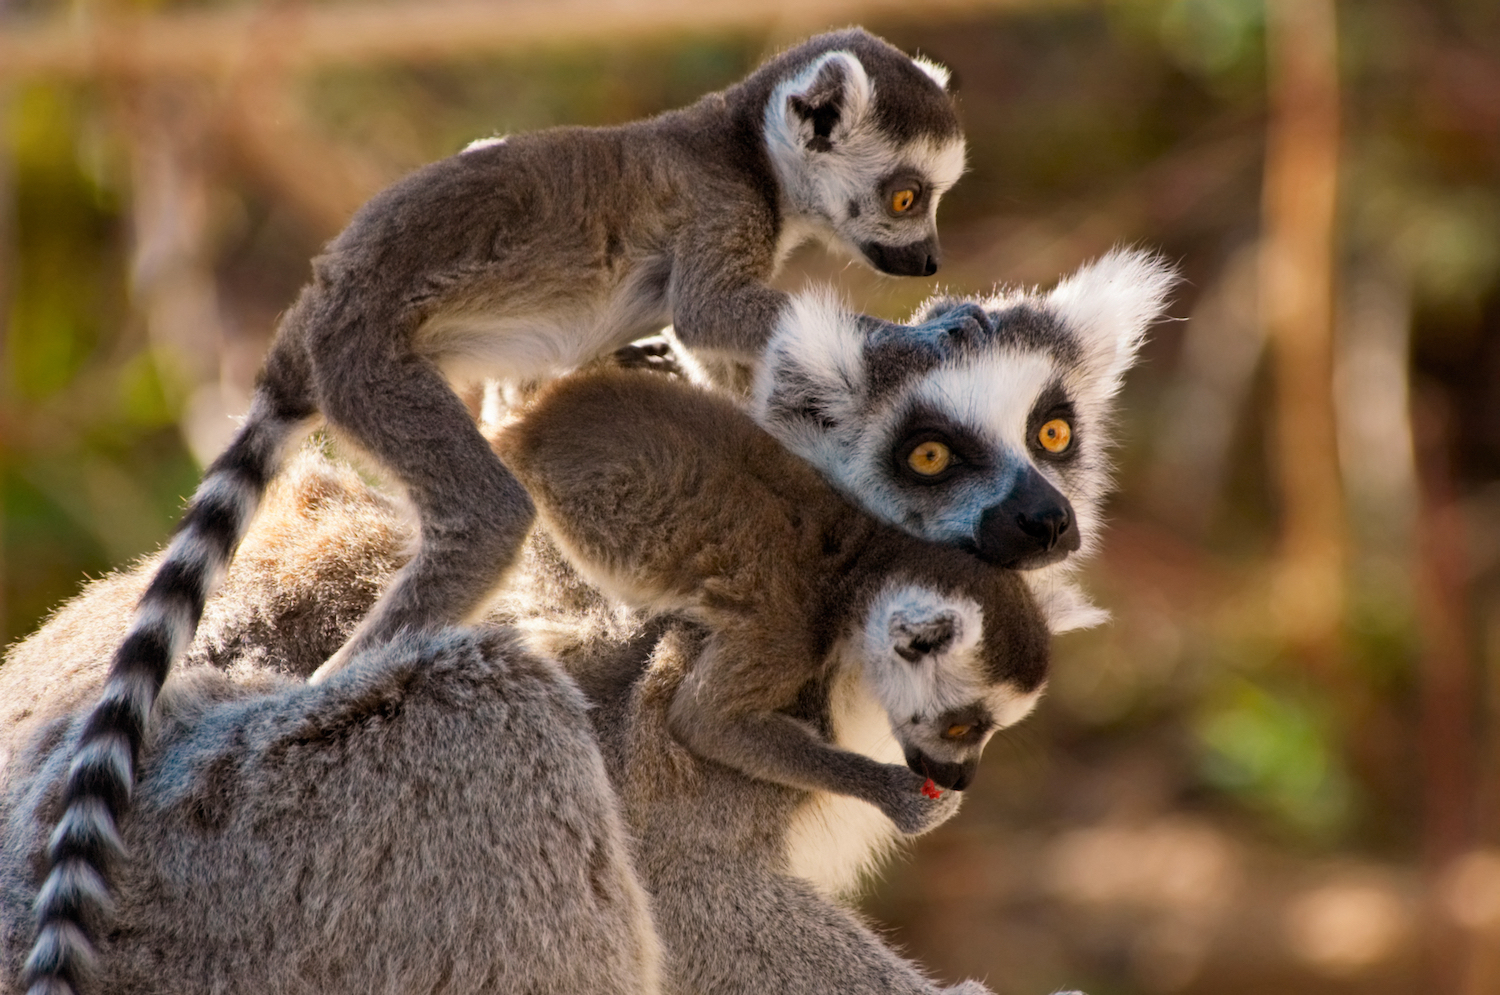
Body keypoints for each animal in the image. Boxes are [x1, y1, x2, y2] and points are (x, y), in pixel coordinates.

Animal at [25, 29, 969, 993]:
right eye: (907, 196)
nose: (929, 261)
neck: (746, 147)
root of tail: (310, 314)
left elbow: (726, 364)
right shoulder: (716, 211)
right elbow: (714, 314)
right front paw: (917, 340)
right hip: (376, 366)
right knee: (486, 522)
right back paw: (339, 678)